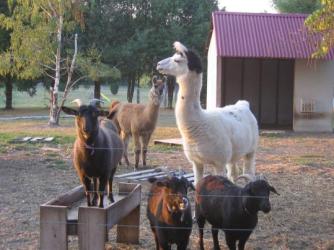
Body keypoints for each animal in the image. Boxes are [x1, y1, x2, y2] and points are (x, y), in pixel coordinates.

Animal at [157, 42, 258, 184]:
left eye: (177, 60)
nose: (158, 64)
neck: (201, 122)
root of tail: (243, 104)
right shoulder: (196, 162)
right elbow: (197, 183)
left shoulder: (219, 162)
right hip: (233, 154)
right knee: (233, 173)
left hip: (251, 149)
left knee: (249, 171)